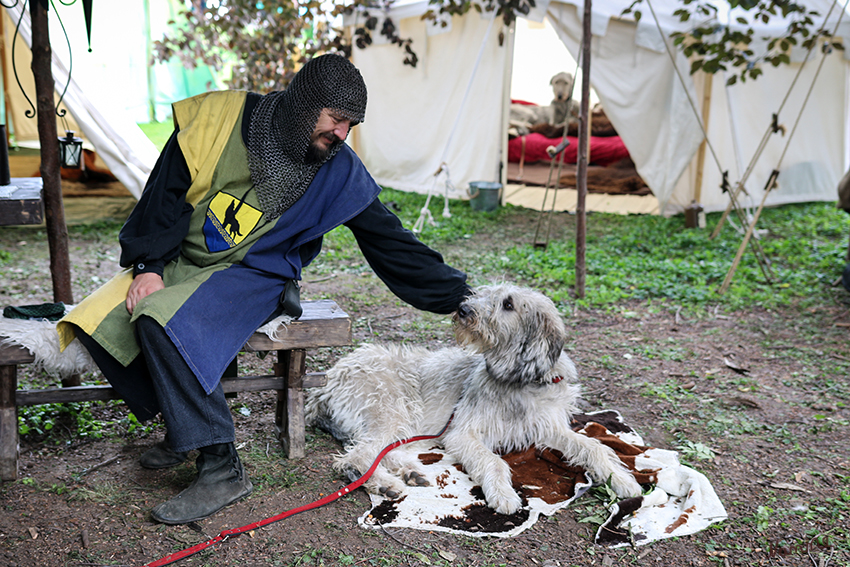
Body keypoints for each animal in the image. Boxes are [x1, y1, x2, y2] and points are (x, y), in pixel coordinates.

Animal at [302, 284, 640, 516]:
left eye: (508, 304)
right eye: (484, 294)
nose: (463, 309)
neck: (520, 381)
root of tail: (325, 382)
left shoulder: (549, 428)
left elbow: (593, 446)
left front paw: (622, 479)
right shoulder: (463, 433)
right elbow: (493, 461)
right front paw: (504, 494)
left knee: (381, 451)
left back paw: (410, 472)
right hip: (393, 408)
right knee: (355, 457)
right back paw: (385, 483)